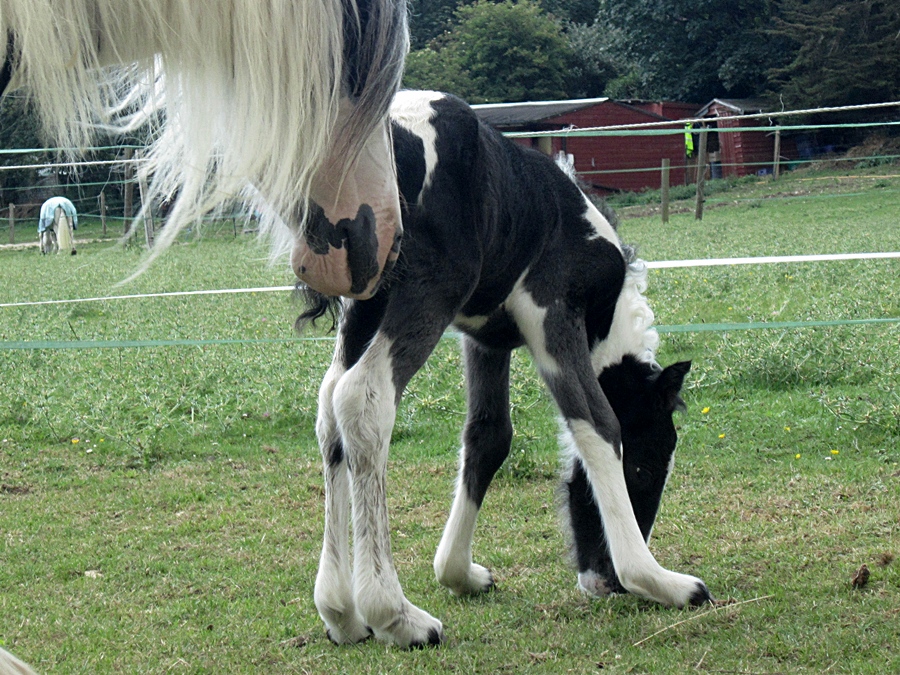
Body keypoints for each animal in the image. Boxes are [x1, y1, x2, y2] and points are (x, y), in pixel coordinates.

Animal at [303, 90, 712, 648]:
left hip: (367, 305)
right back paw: (396, 614)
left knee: (330, 407)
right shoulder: (552, 309)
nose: (605, 581)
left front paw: (460, 573)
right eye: (646, 464)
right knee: (362, 397)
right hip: (429, 290)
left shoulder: (484, 338)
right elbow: (597, 422)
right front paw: (657, 580)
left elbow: (489, 437)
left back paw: (341, 611)